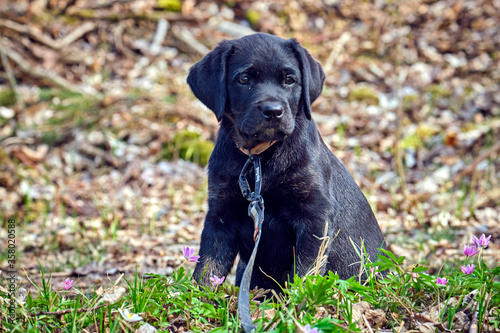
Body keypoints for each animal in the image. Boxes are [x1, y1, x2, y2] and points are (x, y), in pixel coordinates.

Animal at [186, 32, 384, 290]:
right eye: (244, 79)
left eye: (290, 80)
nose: (273, 111)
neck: (258, 157)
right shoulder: (221, 214)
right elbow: (207, 268)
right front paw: (193, 297)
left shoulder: (315, 214)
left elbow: (306, 269)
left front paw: (300, 298)